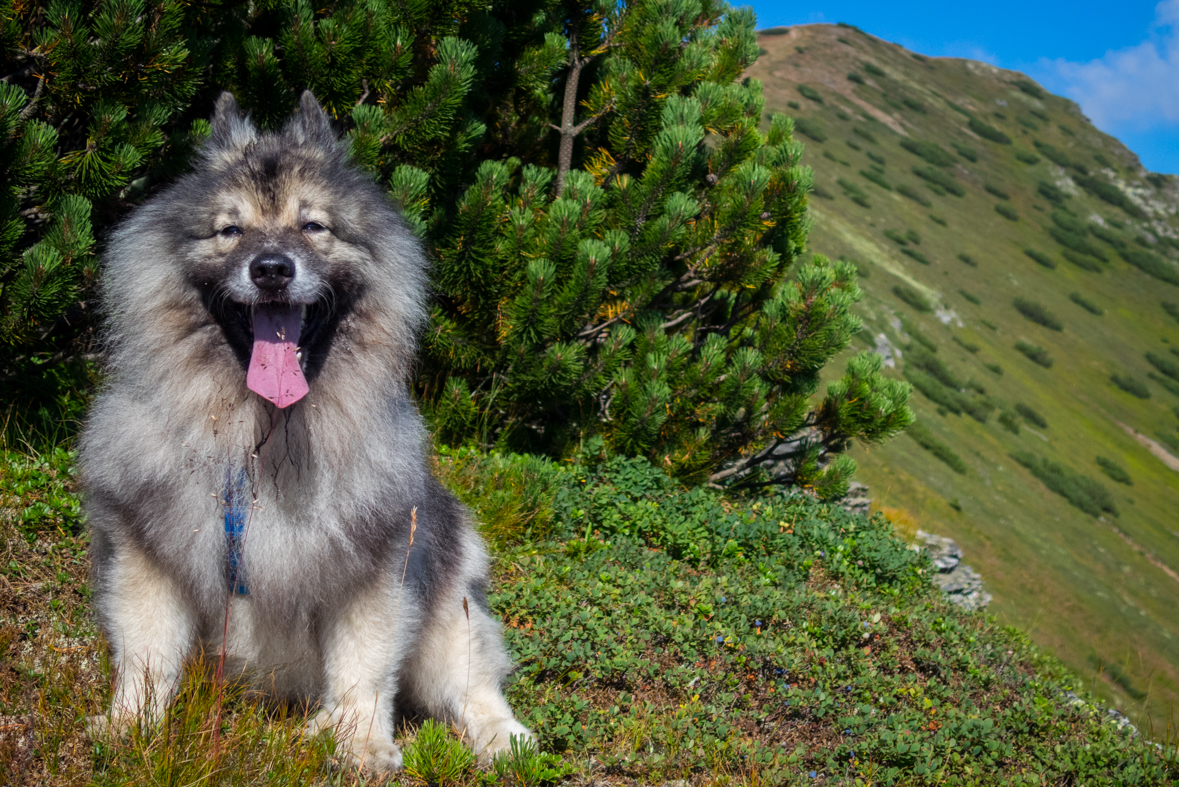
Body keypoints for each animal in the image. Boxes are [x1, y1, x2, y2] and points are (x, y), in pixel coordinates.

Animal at [85, 90, 537, 768]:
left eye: (313, 226)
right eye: (231, 229)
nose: (272, 269)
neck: (263, 436)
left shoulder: (375, 563)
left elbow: (363, 667)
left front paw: (360, 745)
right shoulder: (150, 552)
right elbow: (146, 655)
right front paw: (128, 730)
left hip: (450, 610)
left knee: (474, 686)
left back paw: (502, 741)